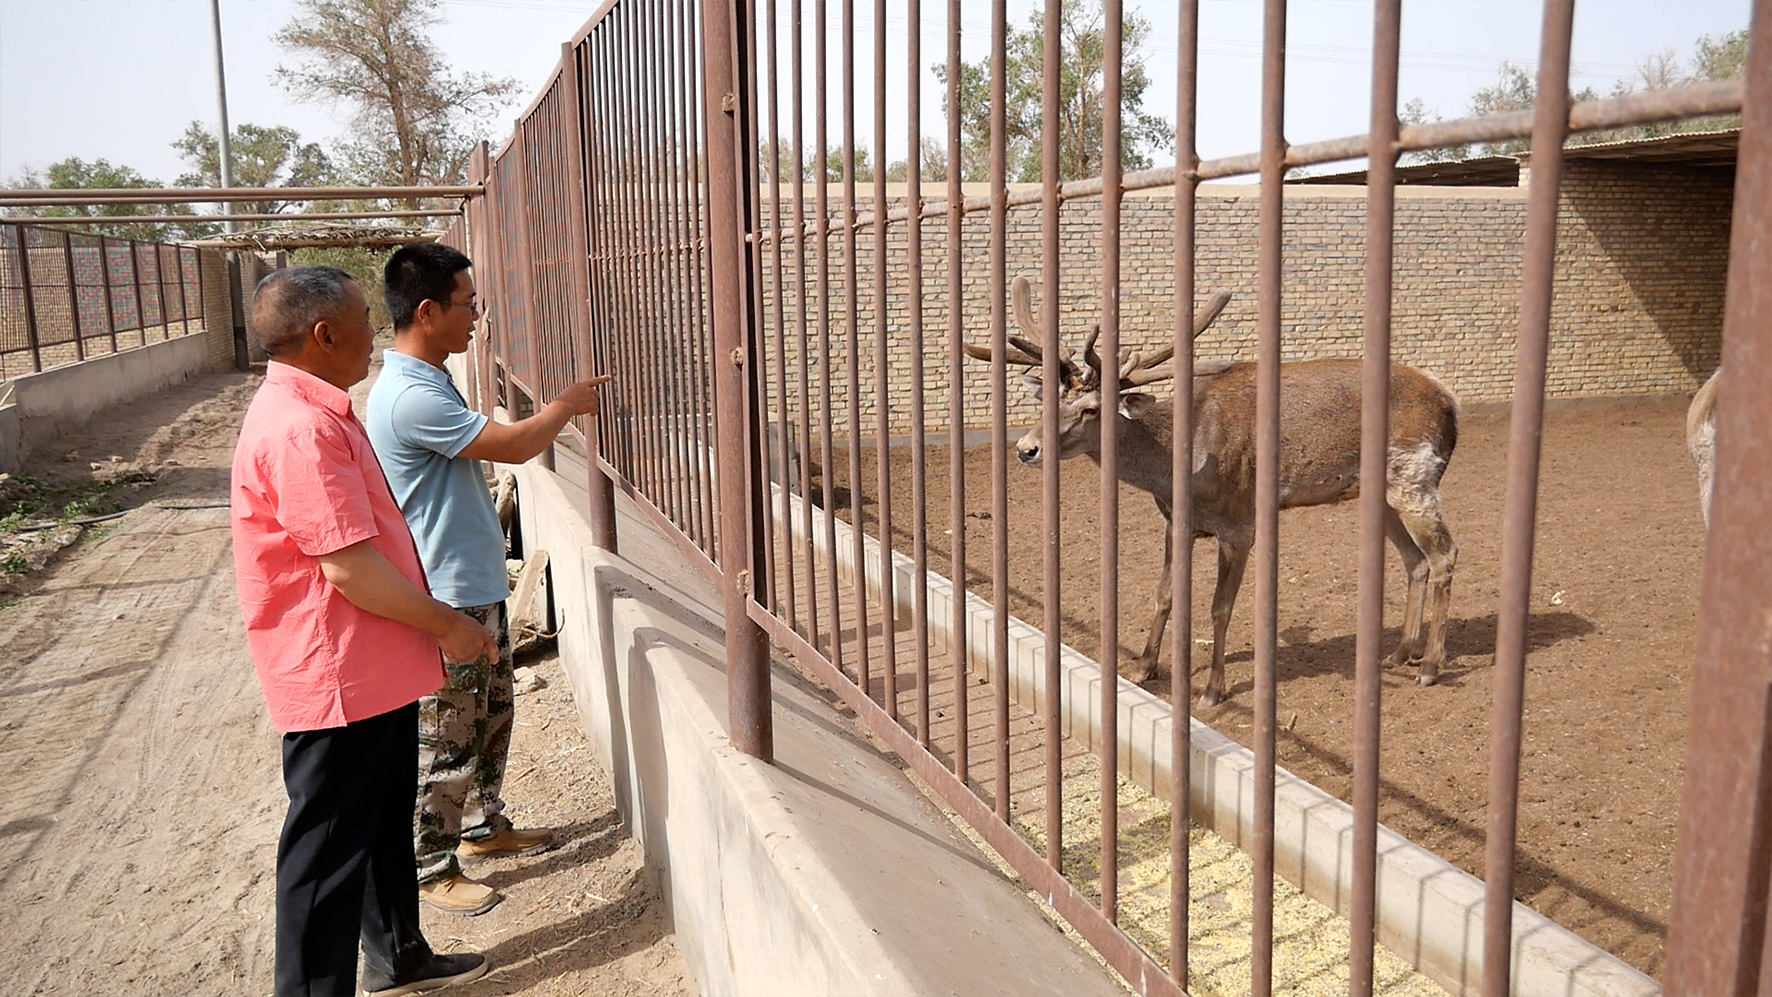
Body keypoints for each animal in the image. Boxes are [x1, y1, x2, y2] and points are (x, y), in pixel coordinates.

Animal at [978, 276, 1460, 704]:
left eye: (1091, 409)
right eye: (1045, 401)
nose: (1026, 448)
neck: (1180, 469)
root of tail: (1449, 400)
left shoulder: (1240, 523)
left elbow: (1219, 607)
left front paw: (1212, 689)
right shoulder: (1176, 521)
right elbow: (1165, 595)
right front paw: (1144, 667)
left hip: (1415, 475)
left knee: (1444, 555)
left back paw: (1430, 665)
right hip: (1384, 492)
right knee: (1415, 560)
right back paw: (1400, 653)